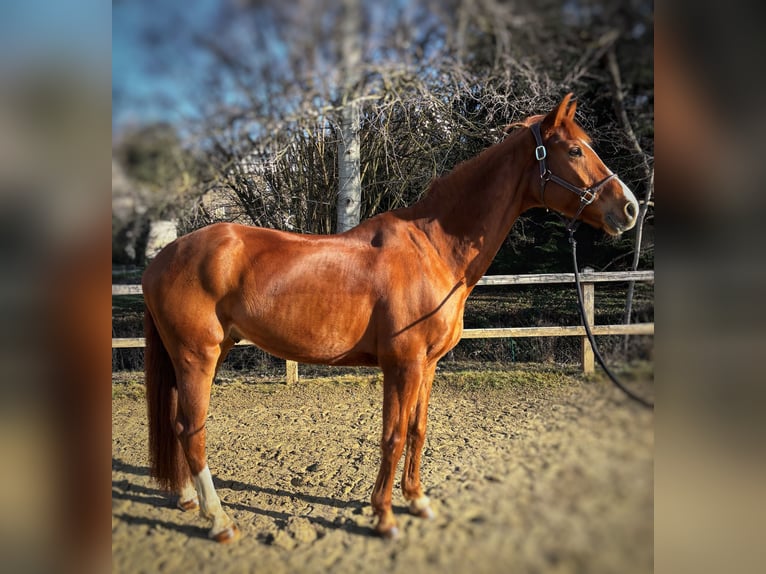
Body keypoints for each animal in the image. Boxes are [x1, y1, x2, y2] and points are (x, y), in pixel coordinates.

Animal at [141, 93, 639, 542]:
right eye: (574, 150)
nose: (631, 208)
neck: (434, 249)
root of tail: (162, 257)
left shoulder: (428, 365)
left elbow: (417, 431)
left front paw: (417, 500)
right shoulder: (403, 365)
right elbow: (393, 436)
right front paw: (383, 517)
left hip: (191, 357)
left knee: (176, 423)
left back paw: (187, 499)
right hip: (198, 356)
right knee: (191, 430)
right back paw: (220, 521)